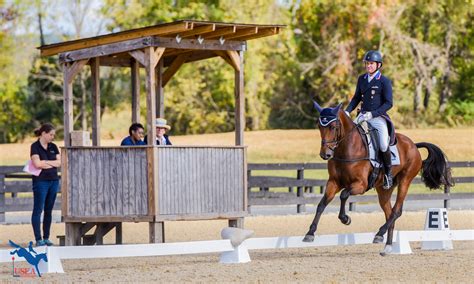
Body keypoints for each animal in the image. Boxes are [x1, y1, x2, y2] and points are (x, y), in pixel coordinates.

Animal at [302, 102, 454, 255]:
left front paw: (345, 219)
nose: (325, 154)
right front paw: (310, 233)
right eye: (319, 126)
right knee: (389, 212)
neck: (346, 149)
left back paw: (379, 233)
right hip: (384, 190)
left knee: (396, 211)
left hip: (405, 181)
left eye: (333, 127)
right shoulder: (333, 182)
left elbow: (344, 195)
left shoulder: (360, 185)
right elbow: (322, 204)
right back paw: (387, 246)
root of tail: (413, 145)